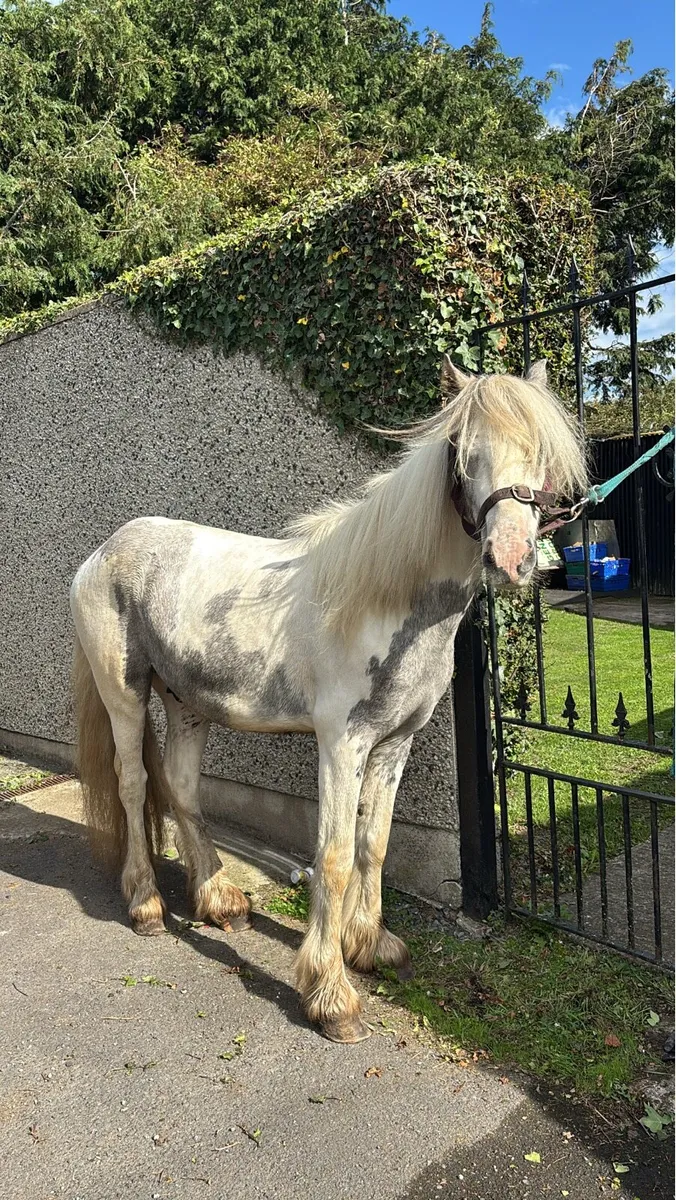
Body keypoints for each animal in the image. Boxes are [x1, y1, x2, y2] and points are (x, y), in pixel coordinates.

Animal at [70, 356, 586, 1043]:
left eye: (541, 457)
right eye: (463, 452)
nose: (511, 558)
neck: (389, 600)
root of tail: (102, 553)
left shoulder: (395, 744)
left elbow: (375, 845)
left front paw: (372, 947)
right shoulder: (343, 745)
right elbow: (336, 855)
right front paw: (331, 994)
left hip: (187, 703)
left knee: (180, 787)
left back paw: (218, 900)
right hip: (125, 696)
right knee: (134, 785)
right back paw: (147, 904)